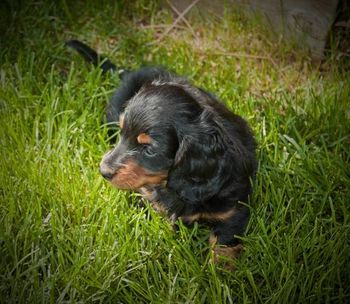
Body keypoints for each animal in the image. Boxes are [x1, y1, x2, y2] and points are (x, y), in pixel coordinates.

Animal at [66, 39, 258, 264]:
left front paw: (219, 270)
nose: (103, 171)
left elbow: (223, 247)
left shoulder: (233, 210)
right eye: (123, 133)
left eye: (149, 149)